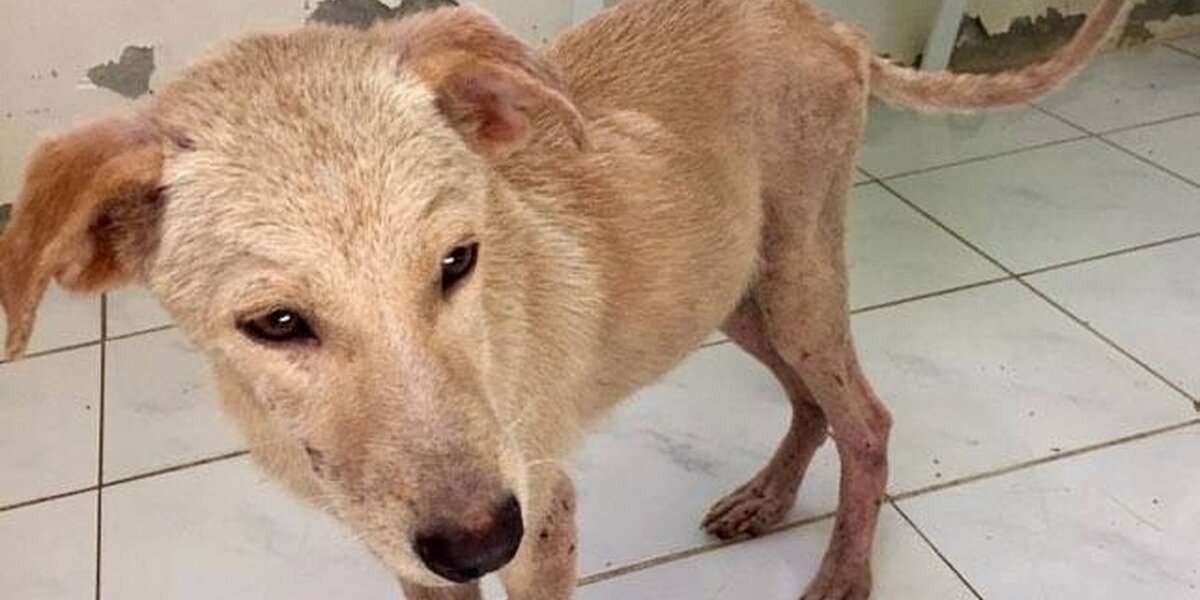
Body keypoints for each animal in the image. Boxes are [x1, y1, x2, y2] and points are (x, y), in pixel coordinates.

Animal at [0, 0, 1128, 597]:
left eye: (460, 259)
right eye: (275, 323)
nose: (479, 540)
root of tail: (823, 22)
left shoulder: (544, 516)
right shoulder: (414, 557)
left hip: (798, 273)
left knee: (869, 417)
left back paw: (845, 570)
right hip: (725, 286)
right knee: (815, 399)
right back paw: (767, 497)